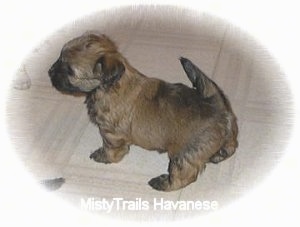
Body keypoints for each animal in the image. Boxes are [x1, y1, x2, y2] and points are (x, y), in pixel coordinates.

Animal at [48, 32, 238, 191]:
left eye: (69, 71)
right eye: (59, 58)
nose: (49, 71)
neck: (109, 86)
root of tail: (217, 106)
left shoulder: (111, 133)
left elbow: (110, 148)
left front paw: (104, 156)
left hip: (184, 153)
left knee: (184, 176)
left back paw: (163, 183)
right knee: (231, 147)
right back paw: (218, 155)